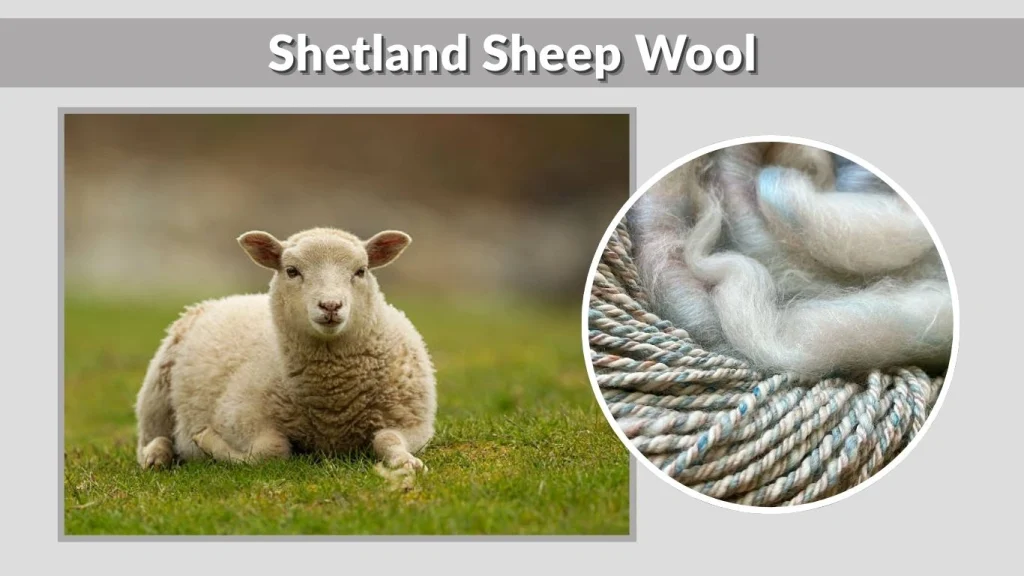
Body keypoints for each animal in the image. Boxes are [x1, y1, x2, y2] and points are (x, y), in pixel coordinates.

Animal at [133, 227, 437, 474]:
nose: (330, 306)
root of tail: (222, 299)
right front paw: (206, 442)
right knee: (152, 437)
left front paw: (407, 462)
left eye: (361, 270)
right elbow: (273, 450)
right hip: (156, 393)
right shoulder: (236, 416)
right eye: (292, 271)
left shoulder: (414, 422)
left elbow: (387, 439)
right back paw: (156, 456)